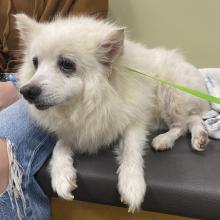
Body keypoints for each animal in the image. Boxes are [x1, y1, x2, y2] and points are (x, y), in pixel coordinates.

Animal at [15, 13, 210, 211]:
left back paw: (165, 139)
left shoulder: (135, 121)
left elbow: (131, 151)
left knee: (181, 125)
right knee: (193, 119)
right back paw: (200, 138)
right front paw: (61, 176)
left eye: (66, 64)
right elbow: (59, 147)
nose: (26, 91)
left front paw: (132, 185)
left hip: (169, 94)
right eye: (35, 63)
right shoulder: (78, 131)